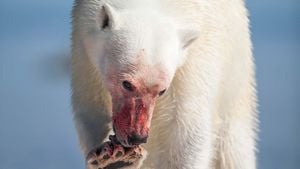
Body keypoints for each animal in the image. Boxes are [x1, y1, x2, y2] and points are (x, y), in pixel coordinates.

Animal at [71, 0, 258, 168]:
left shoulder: (195, 62)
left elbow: (189, 130)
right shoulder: (83, 48)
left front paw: (120, 157)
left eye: (162, 90)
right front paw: (112, 157)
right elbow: (91, 109)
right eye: (127, 84)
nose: (137, 137)